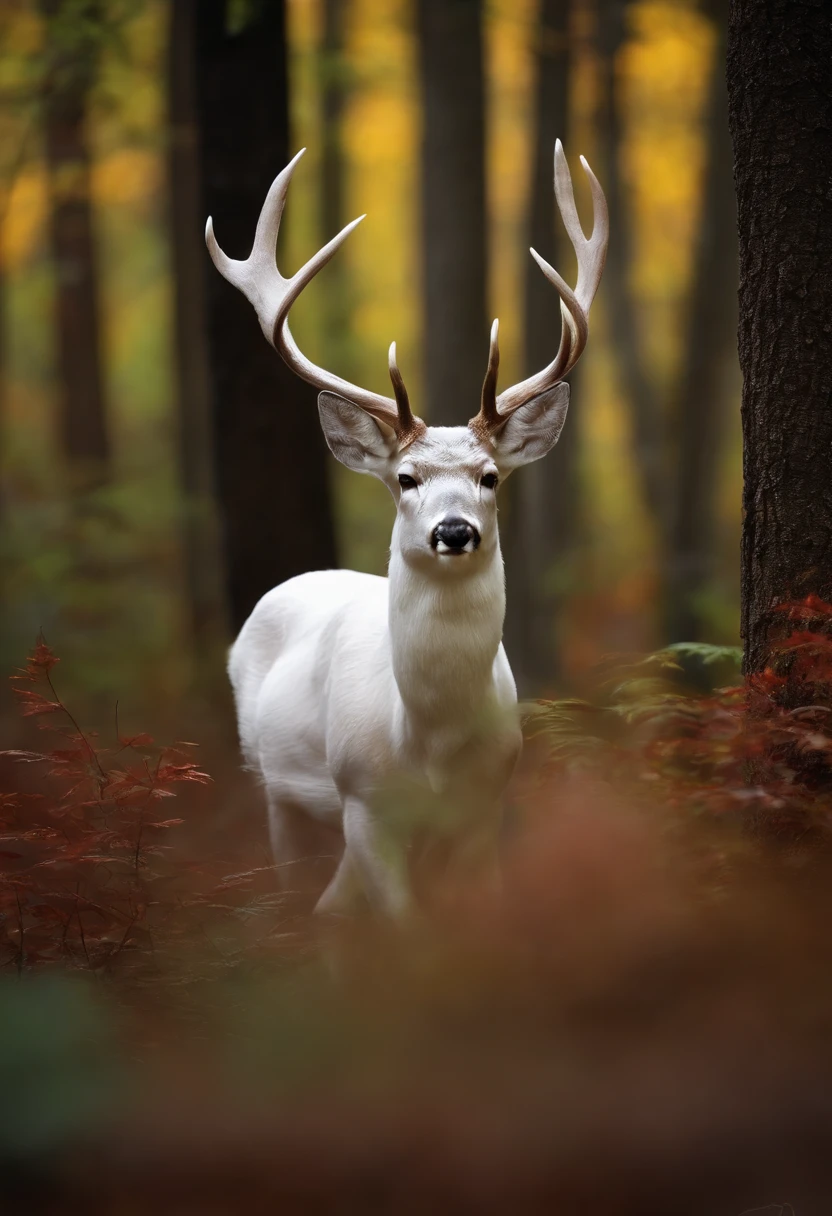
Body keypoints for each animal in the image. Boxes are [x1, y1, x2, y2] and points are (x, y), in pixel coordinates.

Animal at [204, 139, 608, 919]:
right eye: (405, 479)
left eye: (490, 476)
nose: (454, 532)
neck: (429, 744)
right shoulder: (364, 803)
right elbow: (403, 929)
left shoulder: (486, 808)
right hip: (271, 784)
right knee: (303, 891)